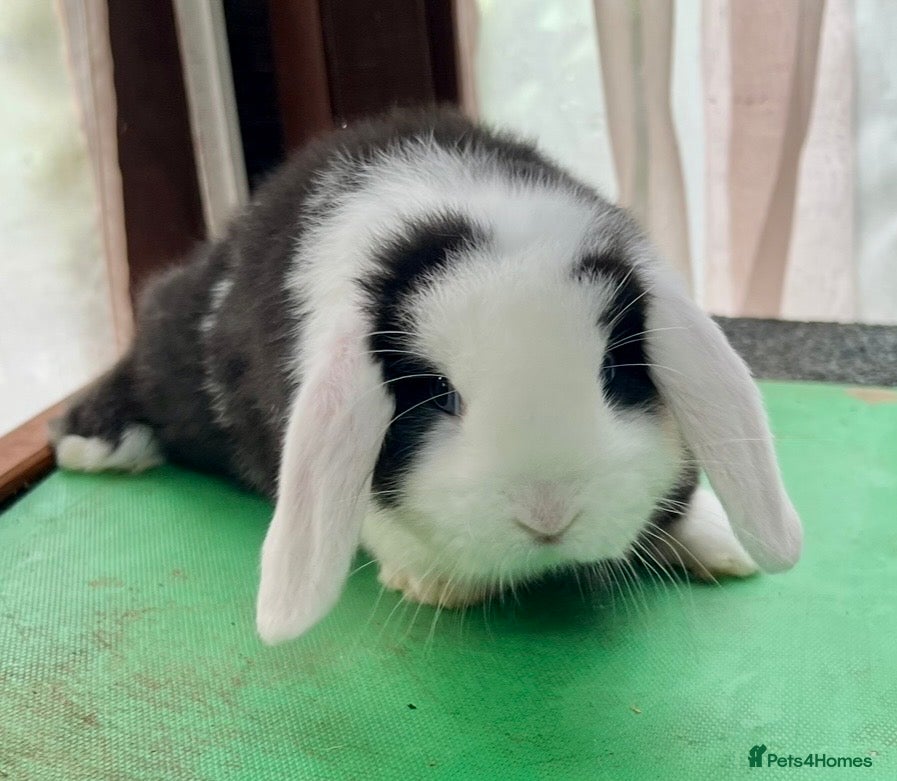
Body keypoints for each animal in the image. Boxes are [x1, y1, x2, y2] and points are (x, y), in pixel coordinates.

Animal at [51, 107, 802, 644]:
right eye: (440, 394)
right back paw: (91, 443)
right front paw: (438, 584)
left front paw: (719, 543)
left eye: (615, 370)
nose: (548, 515)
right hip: (169, 349)